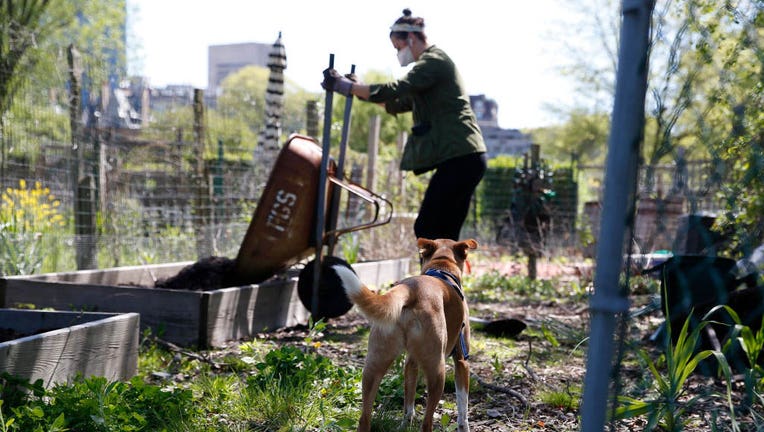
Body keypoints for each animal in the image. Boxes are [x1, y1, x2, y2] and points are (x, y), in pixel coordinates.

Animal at [332, 238, 474, 432]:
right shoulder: (461, 360)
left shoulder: (410, 362)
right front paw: (464, 426)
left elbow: (409, 400)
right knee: (427, 422)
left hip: (373, 365)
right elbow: (463, 405)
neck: (442, 265)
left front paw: (406, 422)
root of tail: (411, 290)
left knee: (364, 419)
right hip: (437, 370)